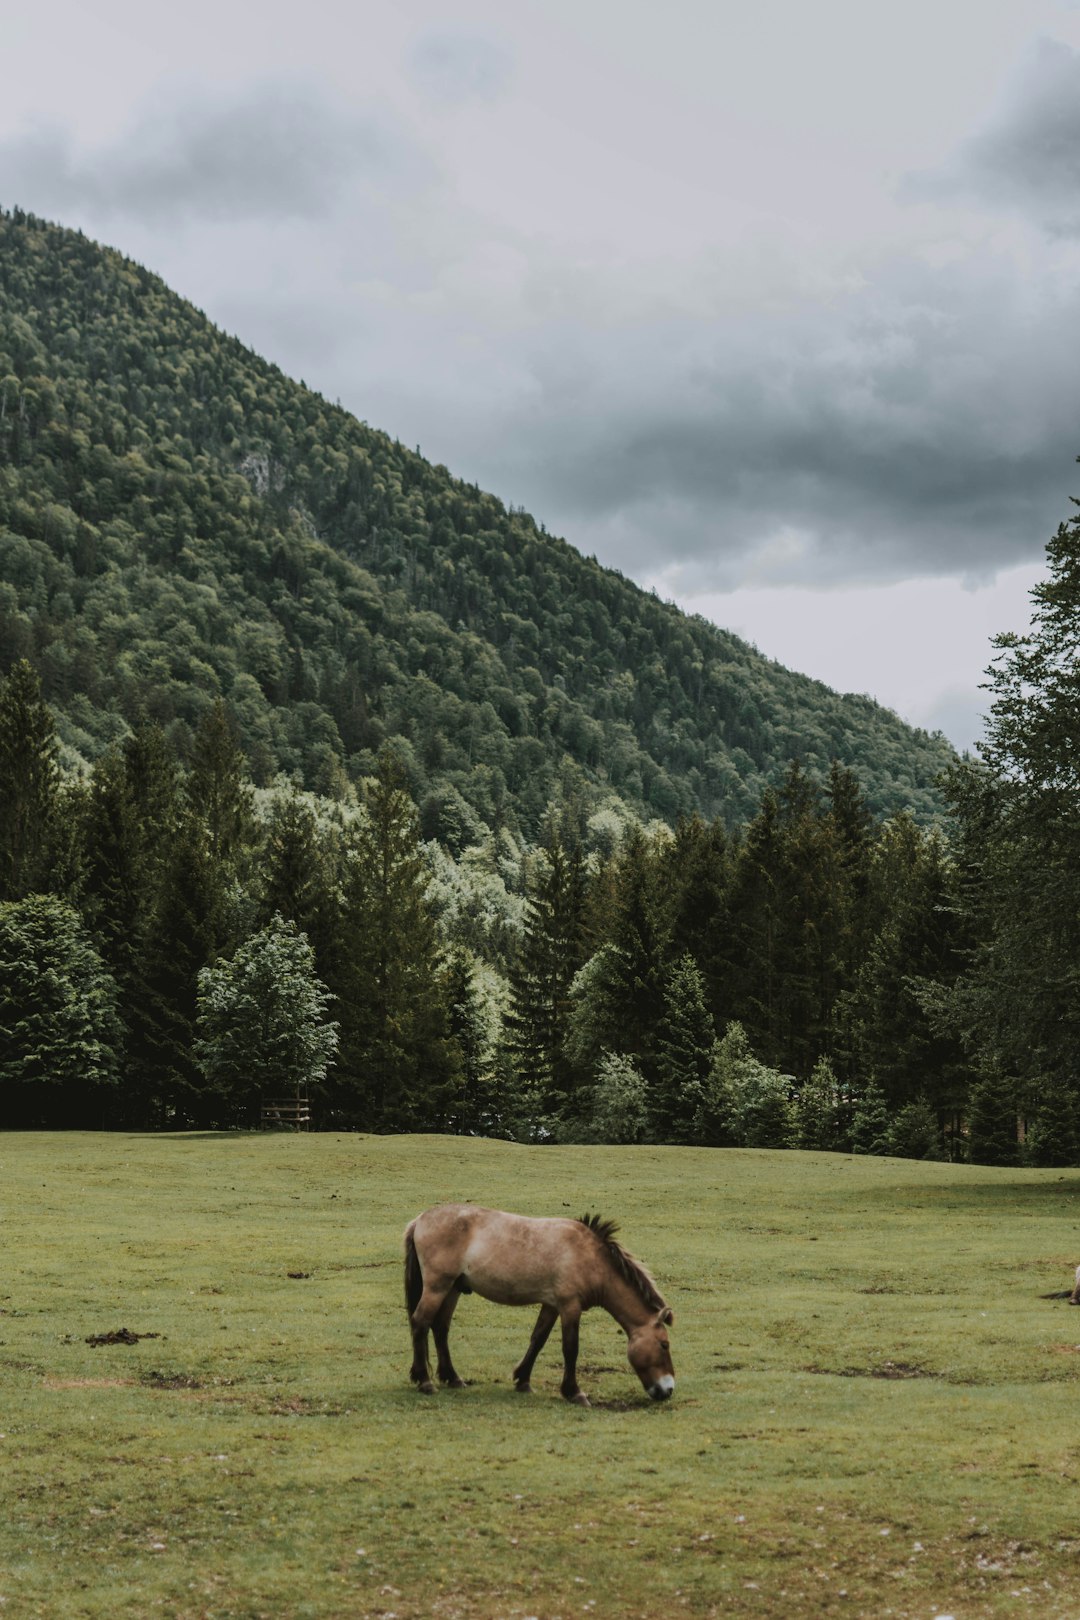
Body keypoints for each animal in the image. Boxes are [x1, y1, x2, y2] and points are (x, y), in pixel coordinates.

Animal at [404, 1205, 676, 1406]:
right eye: (664, 1344)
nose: (668, 1389)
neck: (590, 1258)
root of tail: (420, 1220)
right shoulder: (570, 1307)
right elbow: (570, 1348)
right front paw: (574, 1392)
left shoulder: (551, 1305)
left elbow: (538, 1339)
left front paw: (523, 1380)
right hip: (438, 1286)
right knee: (420, 1323)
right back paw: (425, 1381)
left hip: (453, 1288)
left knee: (440, 1328)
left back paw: (452, 1378)